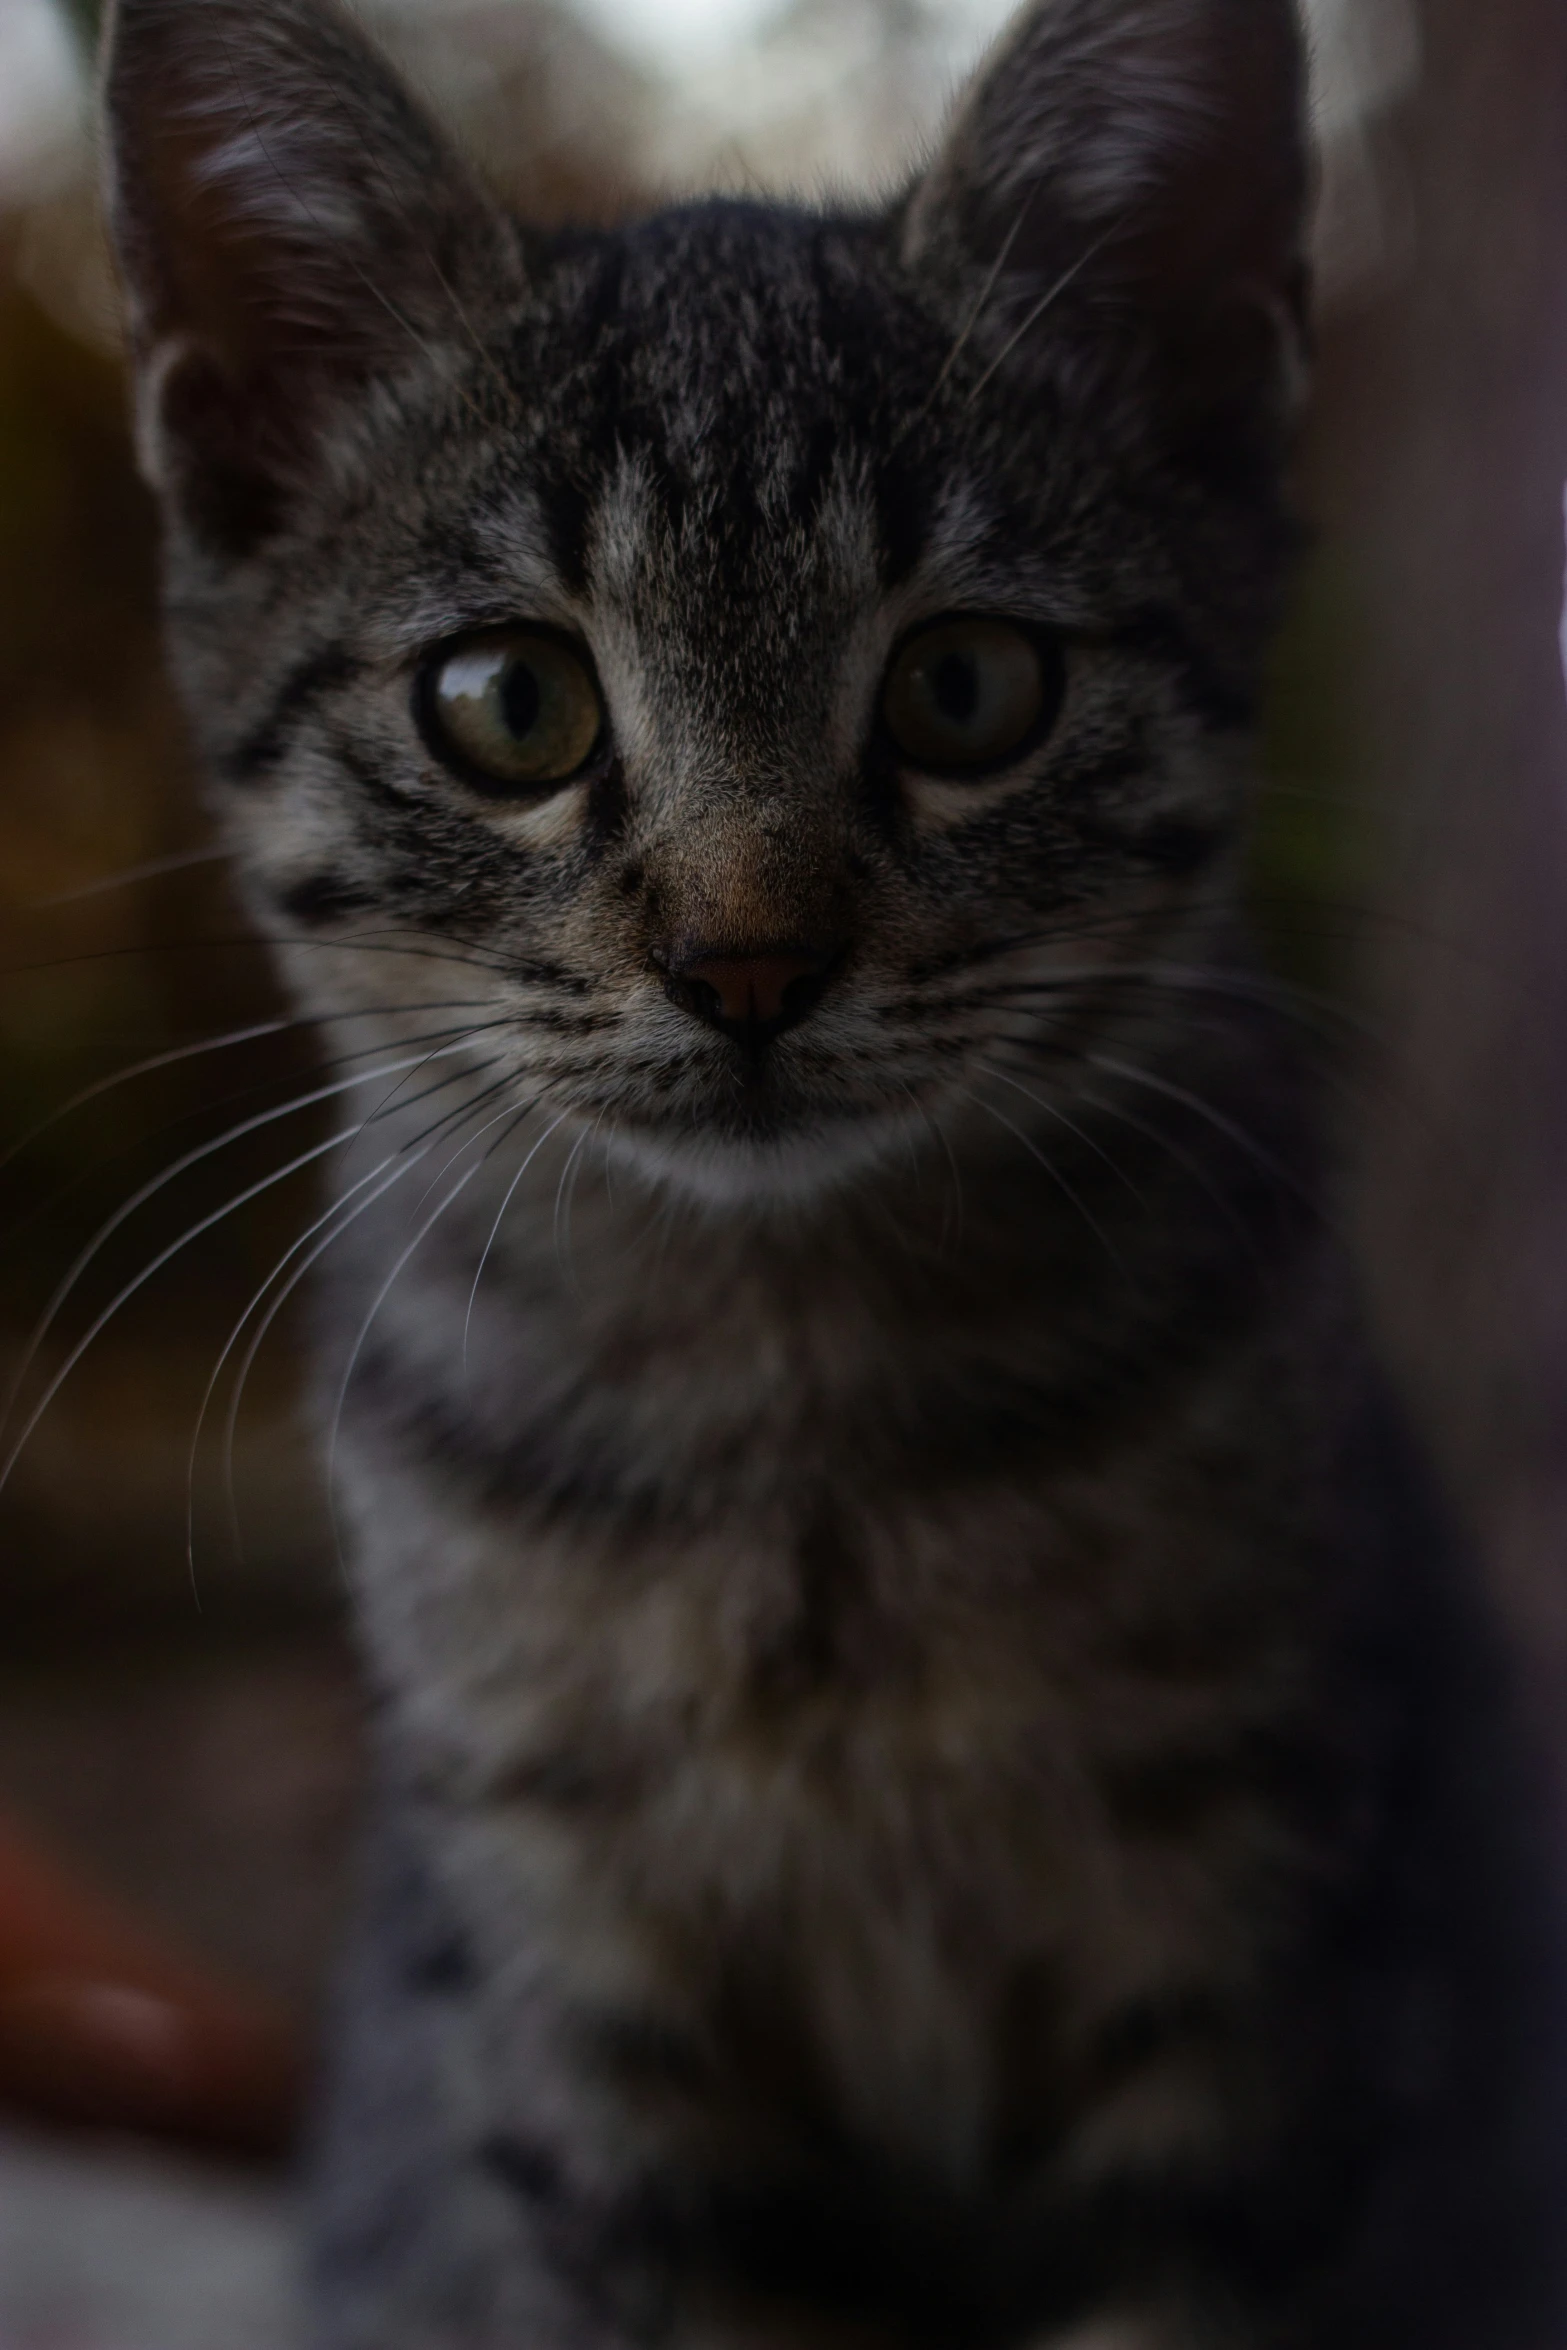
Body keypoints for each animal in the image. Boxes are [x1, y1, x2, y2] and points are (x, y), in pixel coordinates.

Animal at [101, 0, 1567, 2340]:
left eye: (968, 685)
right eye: (508, 700)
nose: (747, 963)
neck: (796, 1434)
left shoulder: (1253, 1963)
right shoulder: (586, 2027)